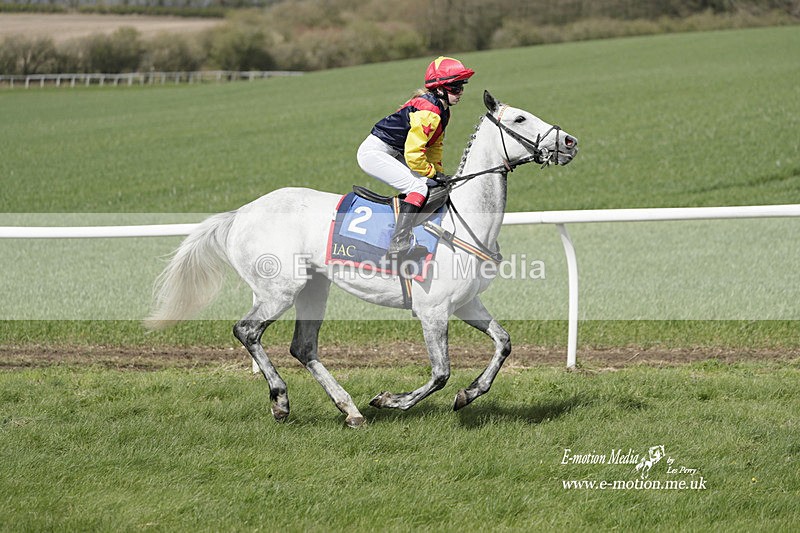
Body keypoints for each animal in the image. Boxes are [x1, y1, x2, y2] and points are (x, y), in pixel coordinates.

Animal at [145, 90, 578, 427]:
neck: (464, 221)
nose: (570, 141)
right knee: (247, 330)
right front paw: (391, 400)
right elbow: (440, 373)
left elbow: (503, 344)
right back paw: (281, 400)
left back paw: (349, 410)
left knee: (303, 347)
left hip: (313, 288)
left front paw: (468, 394)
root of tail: (239, 213)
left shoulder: (465, 303)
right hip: (280, 289)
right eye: (520, 117)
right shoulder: (432, 310)